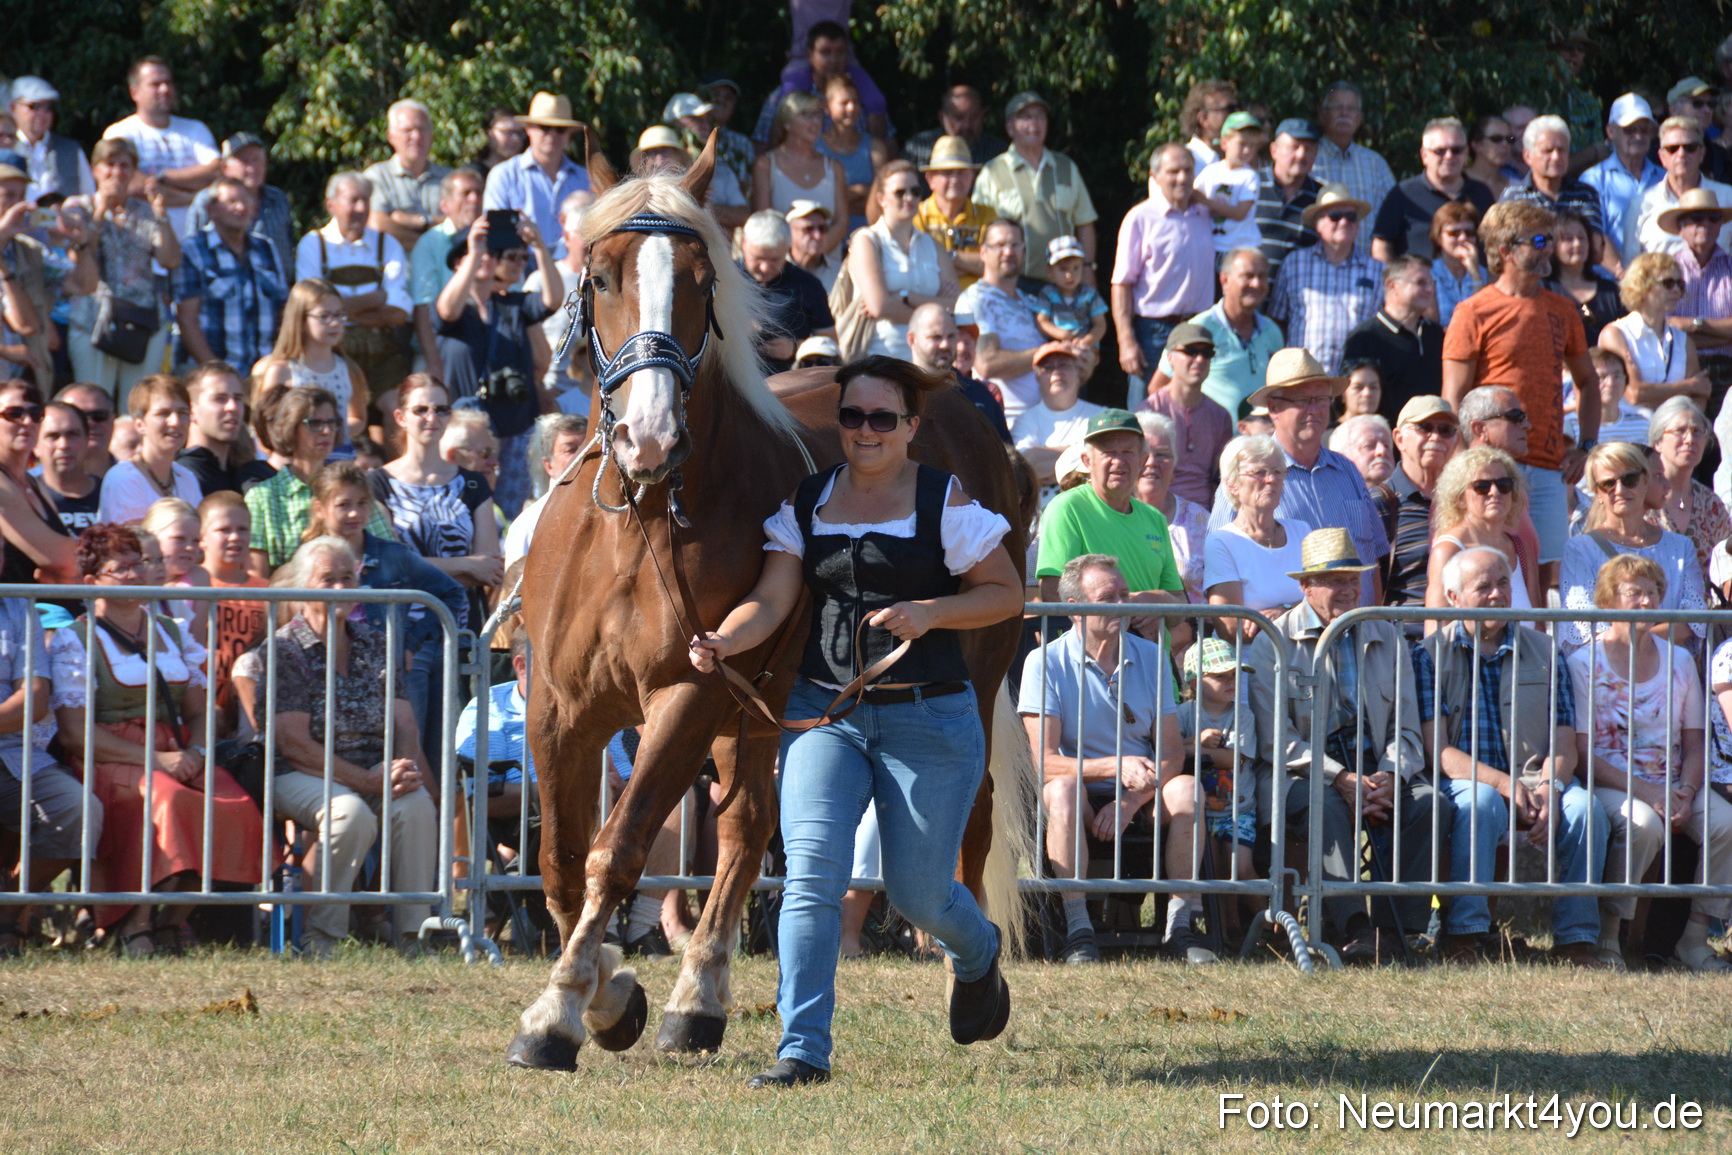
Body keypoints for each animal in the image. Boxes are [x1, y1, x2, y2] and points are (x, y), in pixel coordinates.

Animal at [506, 131, 1033, 1070]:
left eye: (701, 279)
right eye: (599, 275)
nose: (648, 437)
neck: (638, 529)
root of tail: (978, 423)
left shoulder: (689, 692)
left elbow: (617, 850)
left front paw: (564, 1011)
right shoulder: (561, 709)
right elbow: (564, 862)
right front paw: (607, 993)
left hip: (956, 682)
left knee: (958, 830)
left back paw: (970, 989)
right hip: (756, 714)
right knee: (748, 830)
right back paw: (700, 1001)